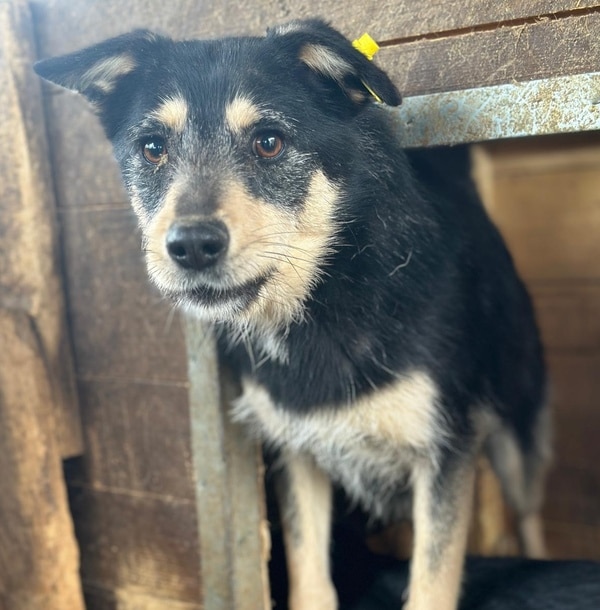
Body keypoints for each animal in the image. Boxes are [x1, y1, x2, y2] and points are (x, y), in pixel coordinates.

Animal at [35, 19, 551, 610]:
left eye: (268, 142)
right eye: (152, 149)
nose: (191, 246)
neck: (323, 300)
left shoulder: (445, 452)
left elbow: (431, 580)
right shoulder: (297, 450)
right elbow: (309, 571)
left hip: (517, 438)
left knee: (529, 514)